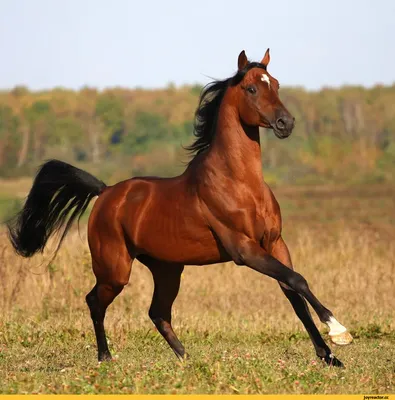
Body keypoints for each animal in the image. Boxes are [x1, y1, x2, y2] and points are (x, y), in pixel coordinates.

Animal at [6, 49, 352, 366]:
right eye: (252, 88)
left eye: (276, 84)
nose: (286, 123)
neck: (239, 183)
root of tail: (105, 193)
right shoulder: (245, 250)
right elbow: (298, 281)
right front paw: (339, 332)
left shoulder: (275, 244)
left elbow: (293, 291)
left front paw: (329, 355)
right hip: (115, 270)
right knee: (95, 301)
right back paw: (106, 357)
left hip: (167, 269)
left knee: (157, 312)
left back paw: (187, 359)